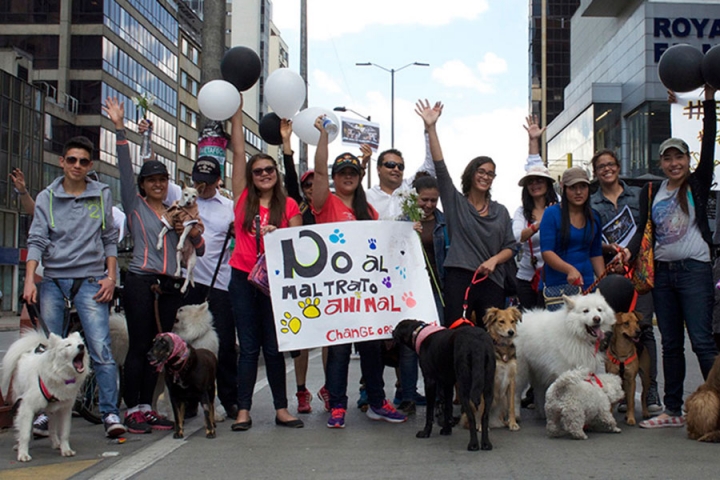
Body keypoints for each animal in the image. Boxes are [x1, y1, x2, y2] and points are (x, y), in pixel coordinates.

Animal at [1, 330, 89, 462]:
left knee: (52, 428)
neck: (59, 375)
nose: (81, 346)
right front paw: (23, 454)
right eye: (68, 345)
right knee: (20, 425)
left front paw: (66, 450)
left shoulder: (65, 409)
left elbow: (65, 432)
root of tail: (29, 351)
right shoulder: (27, 407)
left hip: (52, 409)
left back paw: (56, 443)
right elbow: (25, 433)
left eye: (80, 343)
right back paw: (18, 445)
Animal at [394, 318, 496, 450]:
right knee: (485, 416)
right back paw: (486, 443)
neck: (419, 332)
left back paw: (473, 444)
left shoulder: (430, 381)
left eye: (397, 327)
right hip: (488, 387)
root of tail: (477, 342)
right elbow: (448, 408)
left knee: (471, 417)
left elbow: (429, 411)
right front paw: (447, 430)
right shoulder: (448, 383)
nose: (392, 331)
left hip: (464, 387)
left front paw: (426, 432)